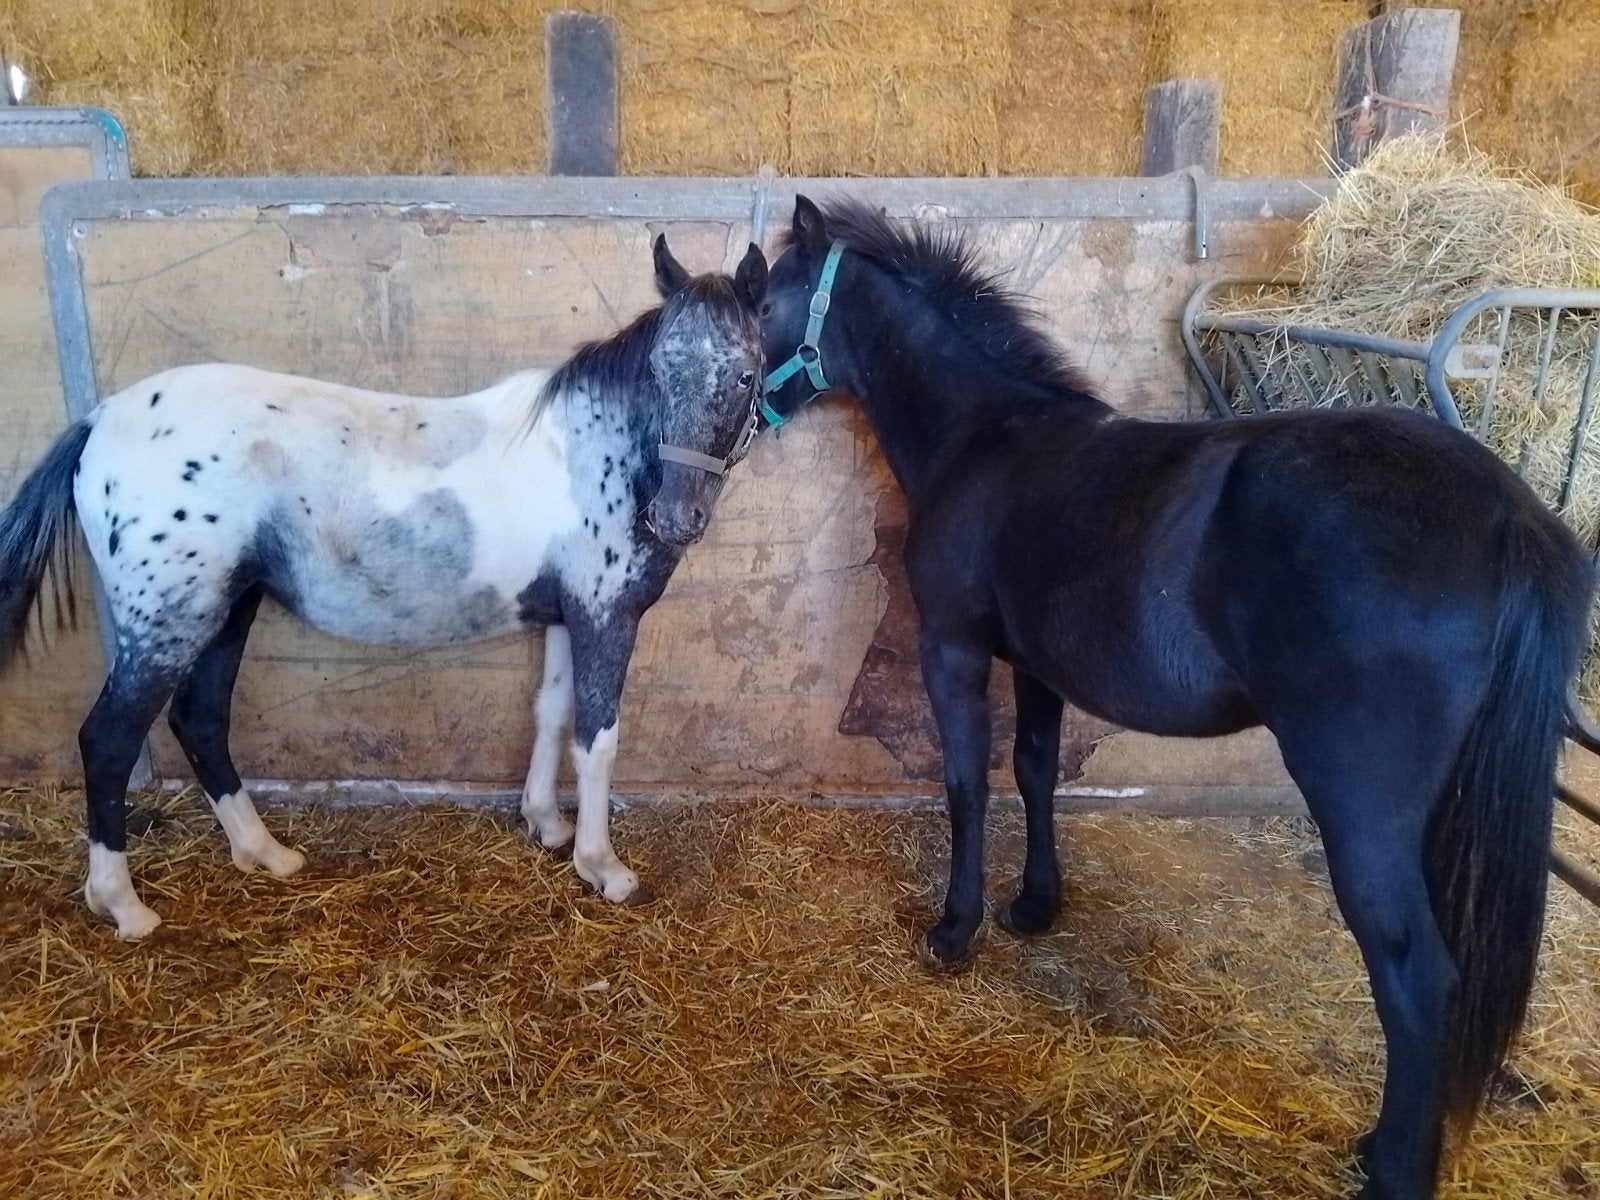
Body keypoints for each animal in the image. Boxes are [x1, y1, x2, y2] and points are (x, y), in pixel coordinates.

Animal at [0, 235, 768, 942]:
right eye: (662, 369)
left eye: (743, 375)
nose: (676, 519)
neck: (599, 451)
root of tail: (100, 419)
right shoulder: (606, 616)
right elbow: (596, 739)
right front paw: (602, 867)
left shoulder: (563, 614)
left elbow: (551, 712)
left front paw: (546, 825)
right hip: (167, 621)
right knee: (109, 739)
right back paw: (122, 906)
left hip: (226, 609)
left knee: (200, 719)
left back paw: (264, 853)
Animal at [755, 196, 1592, 1200]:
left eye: (763, 299)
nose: (745, 406)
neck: (987, 442)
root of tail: (1506, 510)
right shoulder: (1037, 666)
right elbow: (1035, 773)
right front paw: (1036, 907)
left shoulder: (954, 651)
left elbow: (967, 787)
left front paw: (955, 930)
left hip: (1361, 803)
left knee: (1415, 971)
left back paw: (1391, 1165)